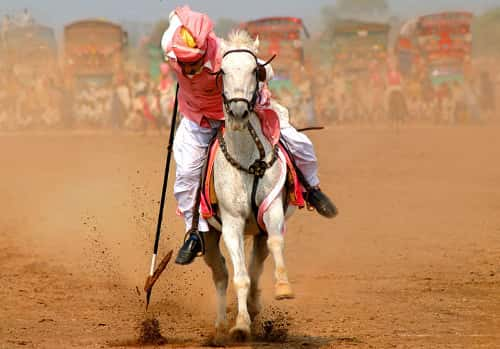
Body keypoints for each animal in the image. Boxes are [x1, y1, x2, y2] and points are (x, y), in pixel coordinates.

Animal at [203, 31, 294, 338]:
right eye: (222, 71)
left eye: (256, 70)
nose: (239, 112)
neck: (247, 159)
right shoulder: (232, 222)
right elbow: (239, 277)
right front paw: (240, 325)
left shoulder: (272, 208)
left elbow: (276, 242)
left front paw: (283, 287)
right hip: (207, 235)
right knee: (220, 273)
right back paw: (221, 324)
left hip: (258, 231)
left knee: (257, 262)